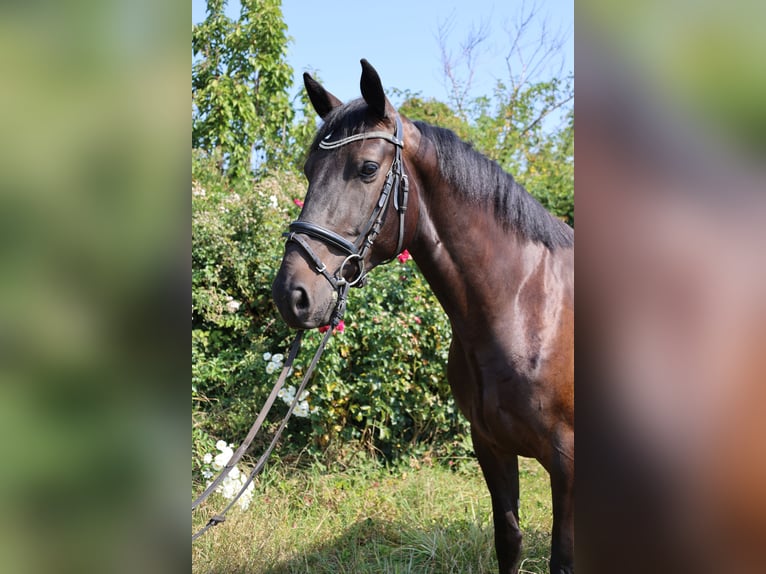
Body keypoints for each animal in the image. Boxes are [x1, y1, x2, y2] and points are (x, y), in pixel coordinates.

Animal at [272, 59, 572, 574]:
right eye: (308, 170)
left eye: (368, 169)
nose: (292, 294)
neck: (526, 309)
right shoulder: (490, 446)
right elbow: (509, 542)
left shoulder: (568, 464)